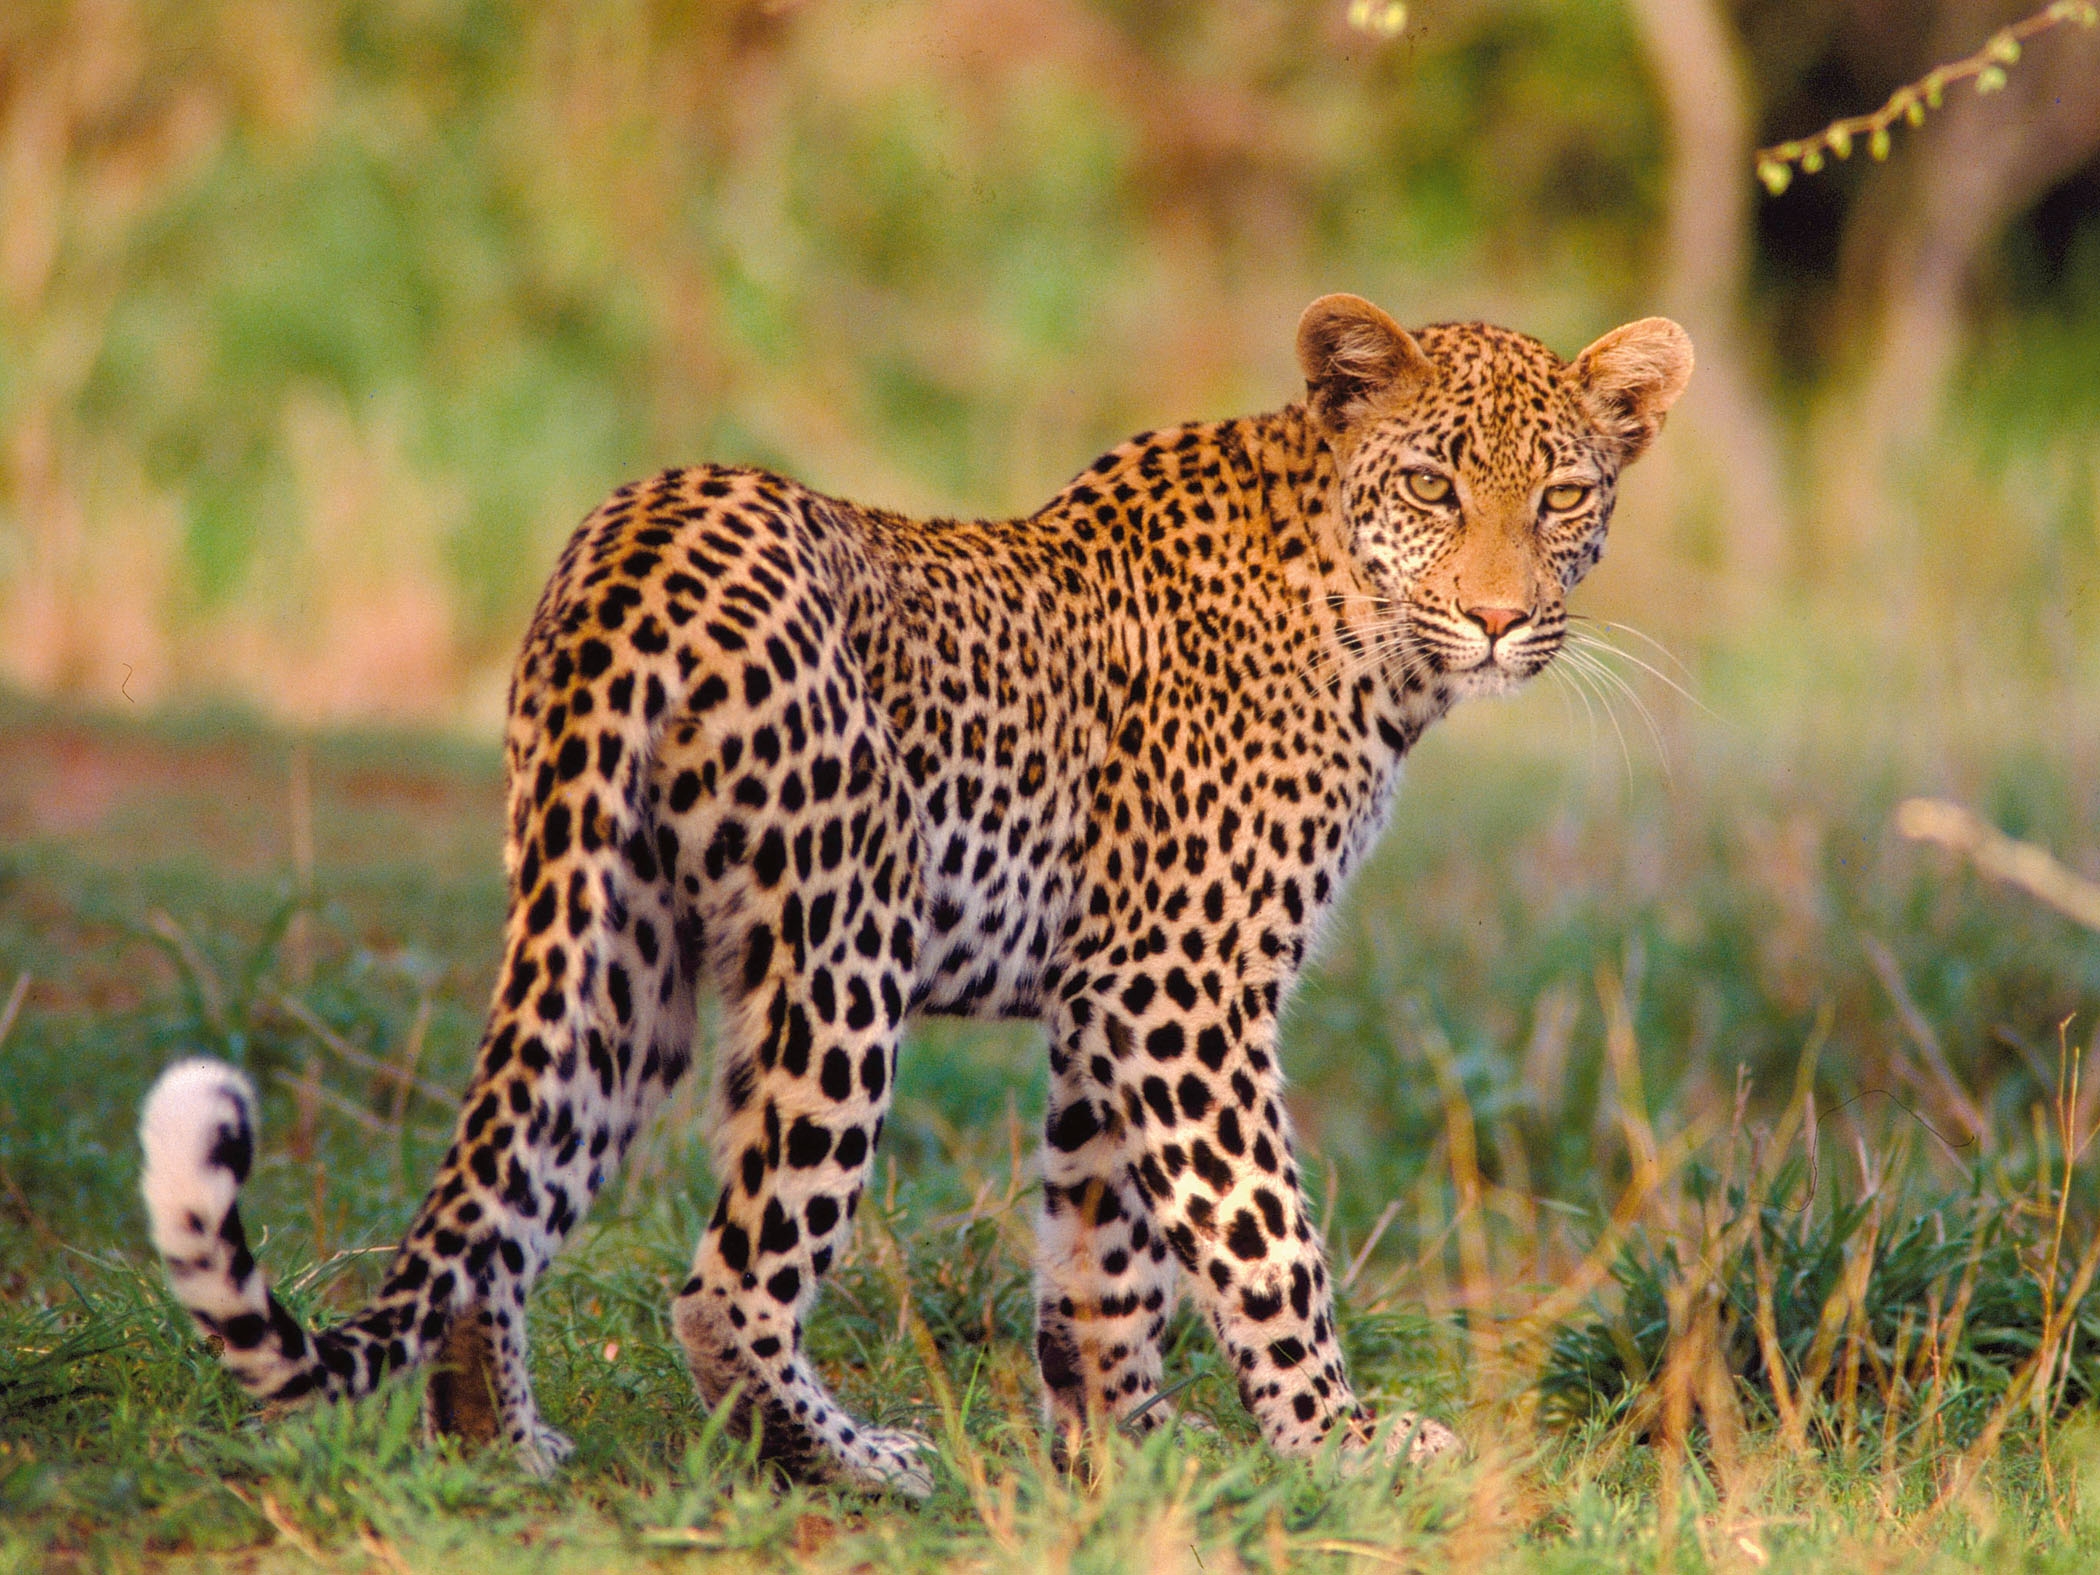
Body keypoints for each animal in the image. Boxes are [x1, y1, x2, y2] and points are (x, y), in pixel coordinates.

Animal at [140, 293, 1691, 1496]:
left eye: (1562, 496)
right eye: (1433, 487)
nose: (1497, 616)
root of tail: (632, 546)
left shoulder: (1106, 1000)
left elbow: (1104, 1243)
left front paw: (1131, 1446)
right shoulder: (1180, 990)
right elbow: (1263, 1236)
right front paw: (1342, 1444)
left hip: (616, 952)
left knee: (498, 1212)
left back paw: (503, 1451)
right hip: (844, 950)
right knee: (727, 1282)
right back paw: (859, 1462)